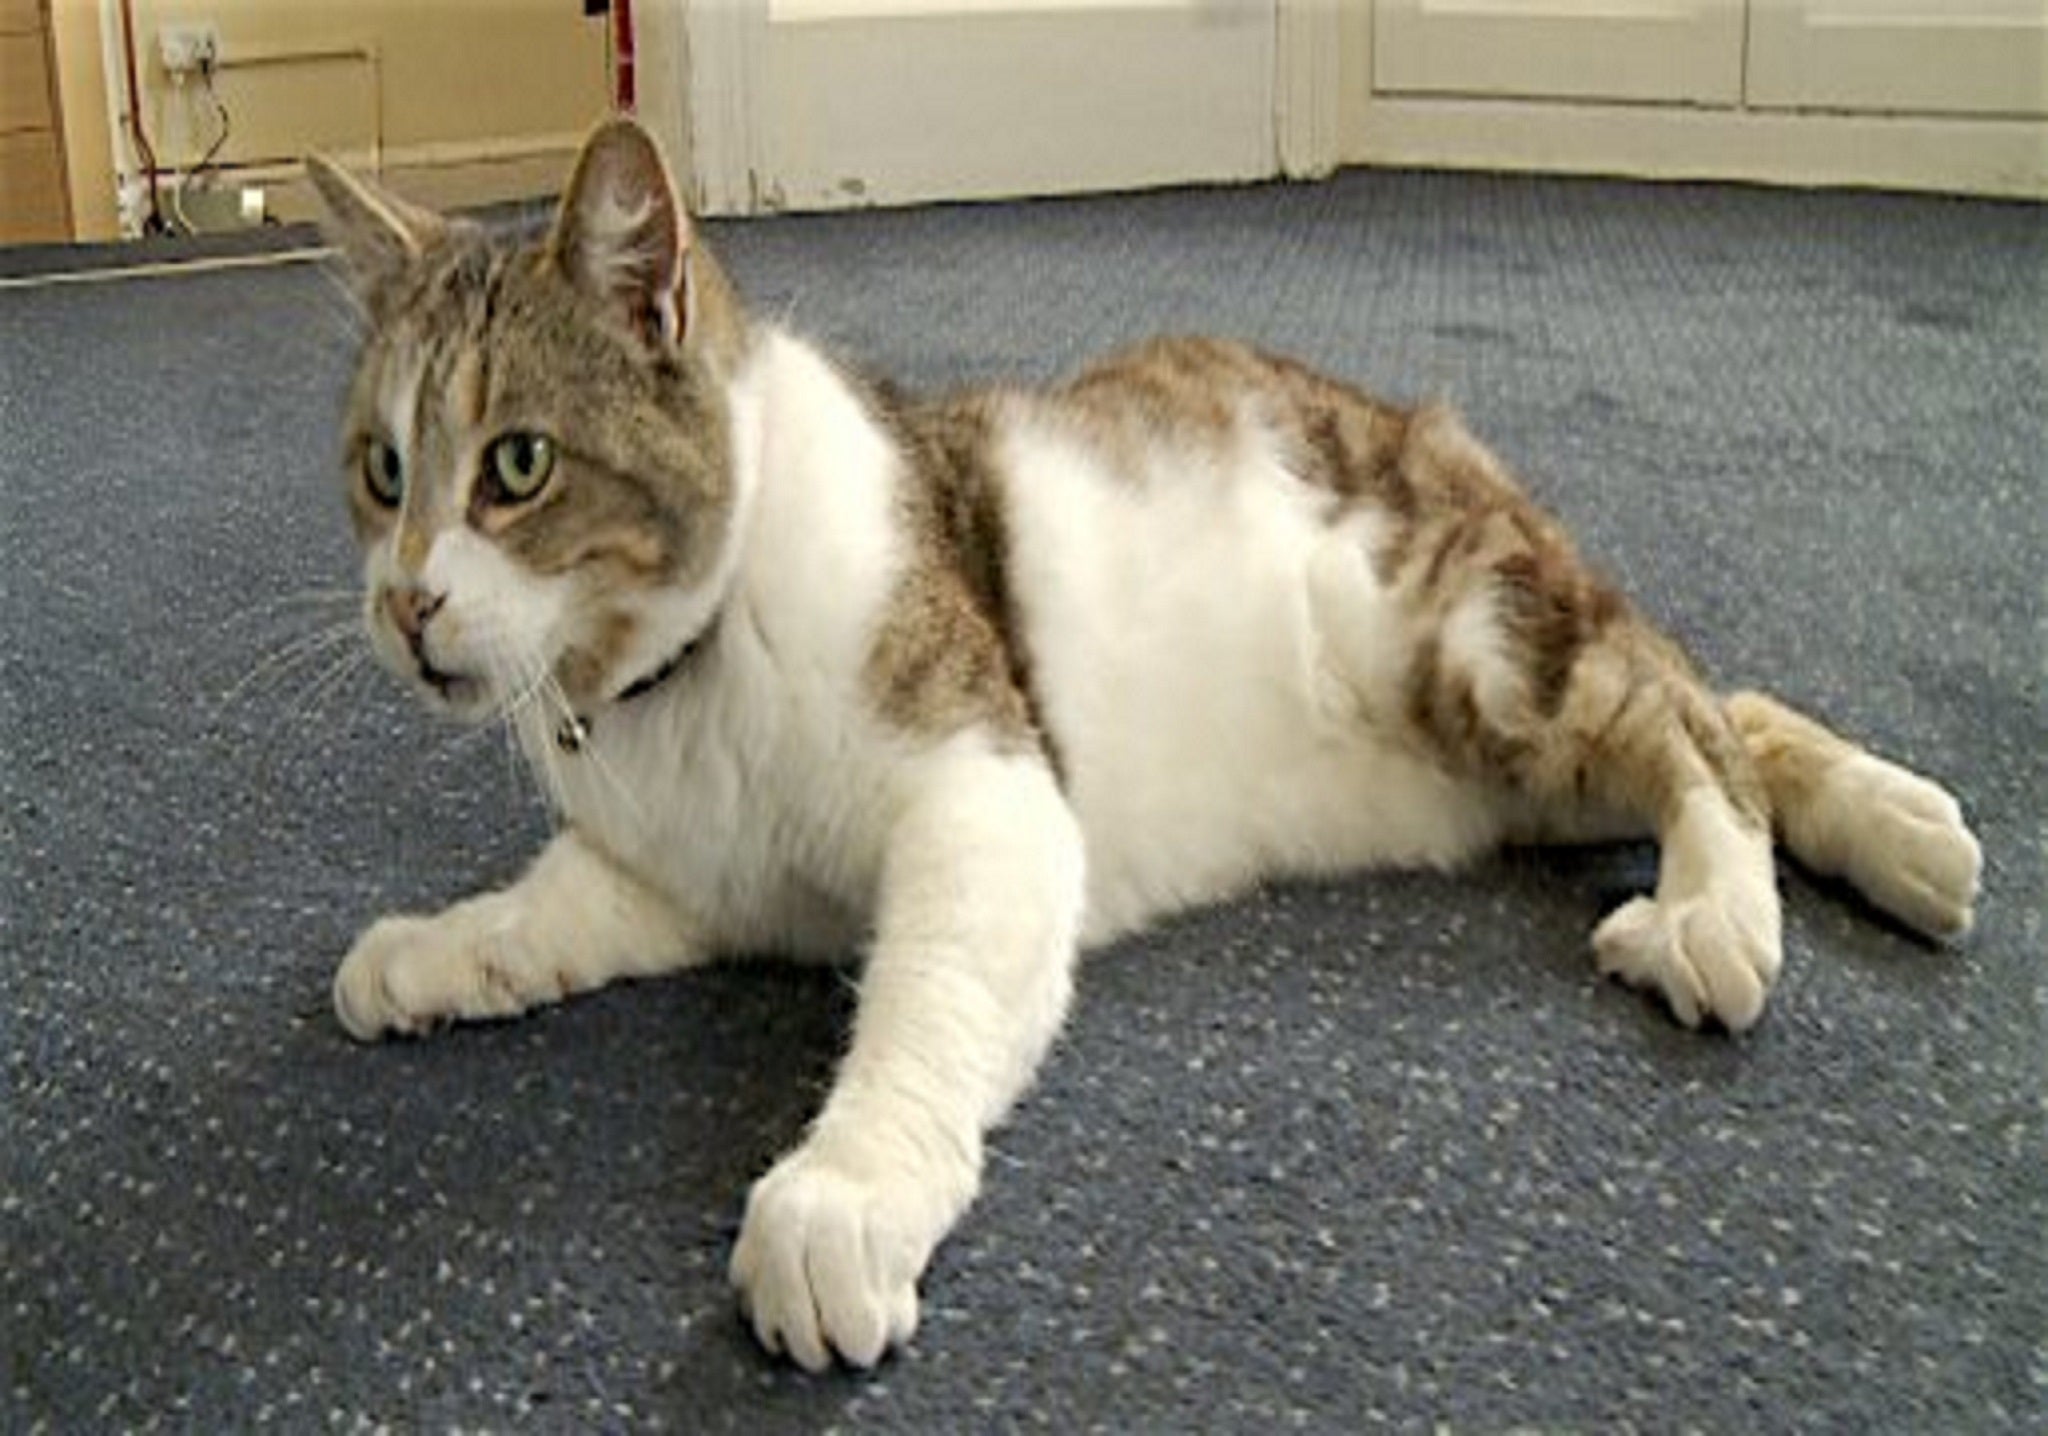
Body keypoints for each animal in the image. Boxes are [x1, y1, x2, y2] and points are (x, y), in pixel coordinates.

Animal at [307, 117, 1982, 1368]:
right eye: (383, 469)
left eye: (518, 464)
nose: (405, 604)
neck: (672, 687)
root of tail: (1422, 421)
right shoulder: (693, 878)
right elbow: (555, 908)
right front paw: (436, 951)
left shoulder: (990, 802)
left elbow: (919, 1009)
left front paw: (842, 1192)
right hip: (1507, 764)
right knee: (1718, 703)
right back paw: (1901, 831)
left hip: (1475, 646)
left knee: (1690, 721)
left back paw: (1725, 909)